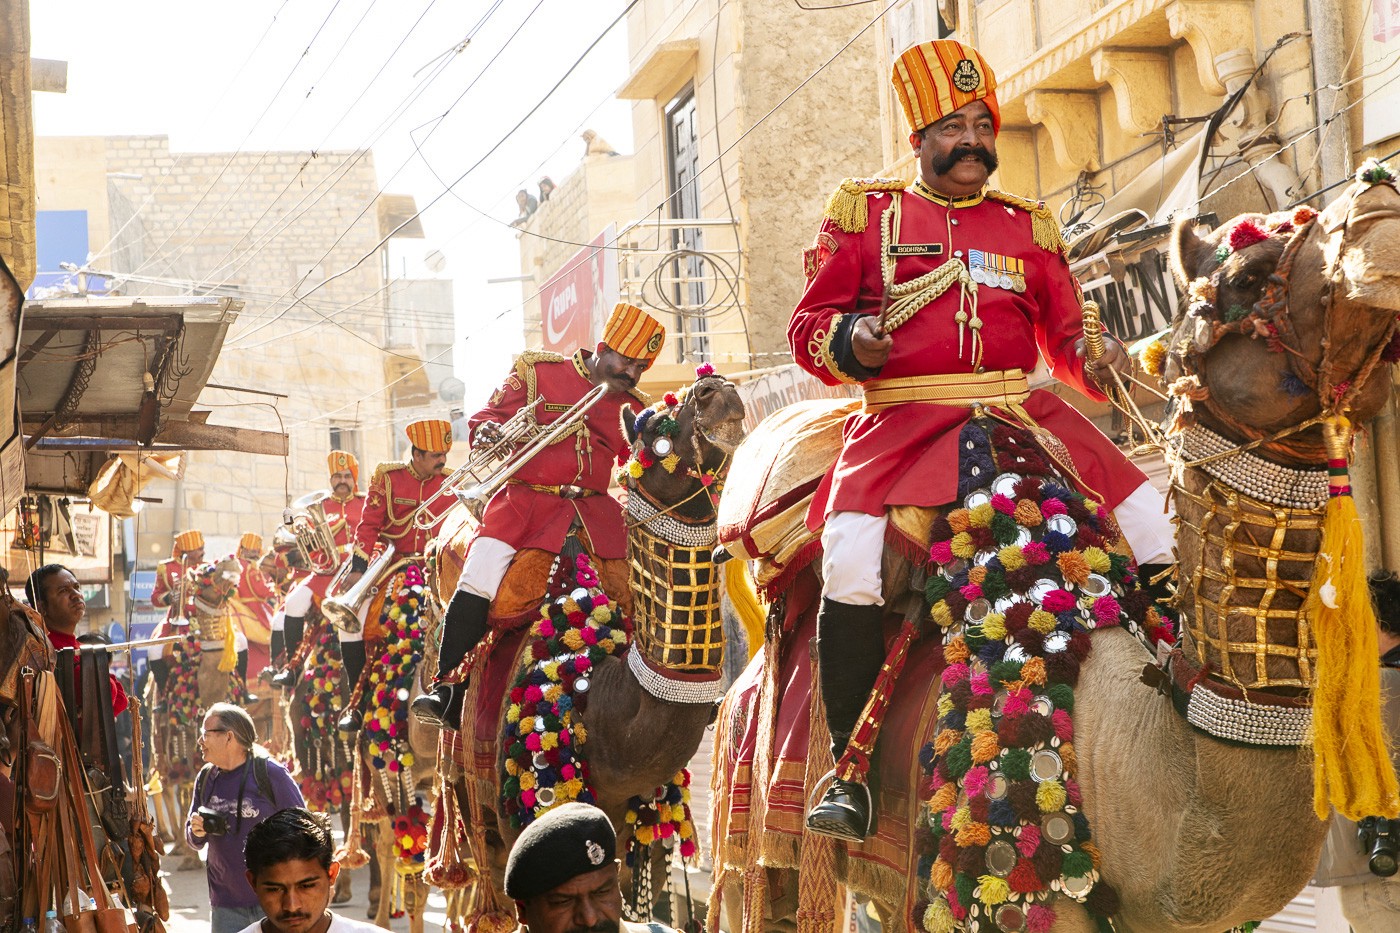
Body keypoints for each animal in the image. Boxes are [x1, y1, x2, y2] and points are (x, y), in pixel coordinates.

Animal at [428, 367, 756, 918]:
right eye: (655, 426)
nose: (717, 388)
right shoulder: (519, 828)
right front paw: (495, 434)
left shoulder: (635, 840)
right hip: (473, 805)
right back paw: (435, 697)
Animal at [711, 168, 1400, 930]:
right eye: (1247, 275)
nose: (1379, 202)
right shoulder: (1010, 892)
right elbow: (817, 320)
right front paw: (862, 338)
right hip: (758, 832)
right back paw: (839, 798)